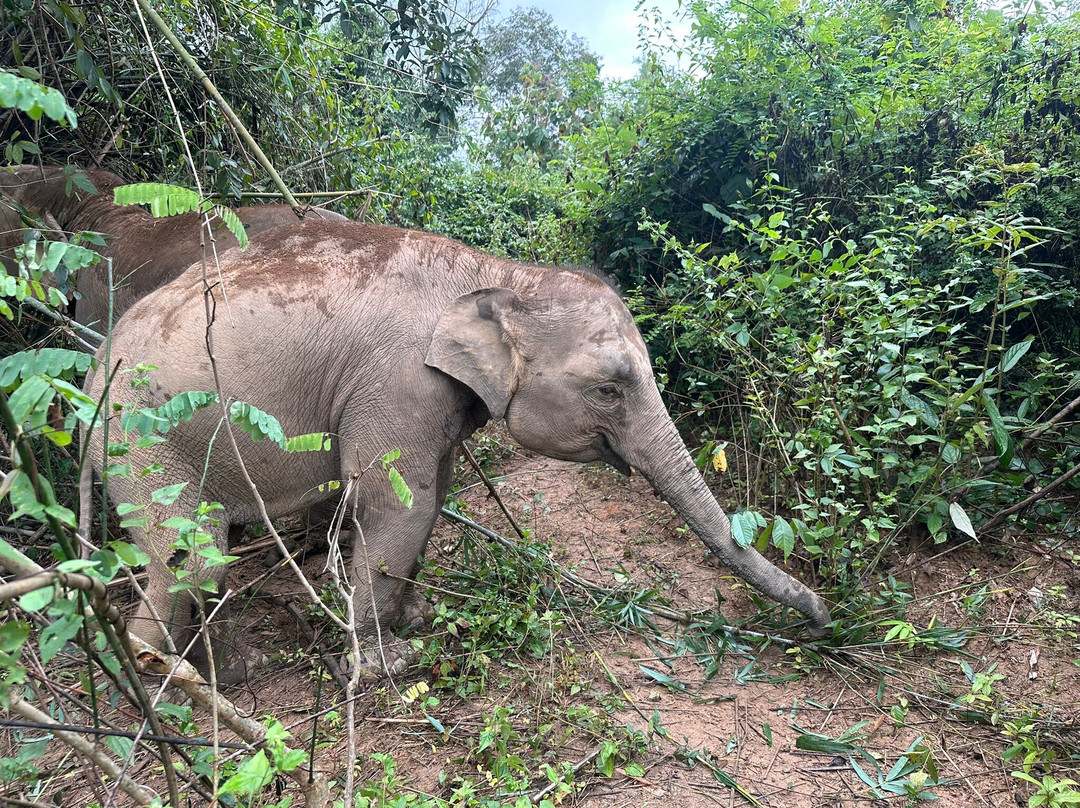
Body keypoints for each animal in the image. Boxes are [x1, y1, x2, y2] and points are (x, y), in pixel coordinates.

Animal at [83, 220, 832, 681]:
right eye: (609, 389)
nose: (827, 618)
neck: (499, 276)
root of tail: (87, 372)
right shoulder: (396, 382)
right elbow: (398, 504)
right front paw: (384, 665)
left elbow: (434, 494)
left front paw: (414, 620)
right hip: (141, 437)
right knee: (191, 547)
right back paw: (160, 677)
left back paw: (220, 669)